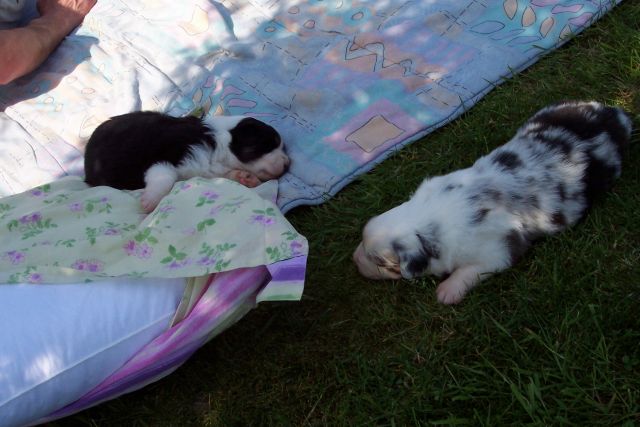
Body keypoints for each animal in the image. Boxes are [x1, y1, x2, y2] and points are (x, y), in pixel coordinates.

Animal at [84, 113, 288, 213]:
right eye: (270, 144)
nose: (288, 164)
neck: (220, 140)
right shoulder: (165, 156)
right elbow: (165, 176)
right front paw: (150, 201)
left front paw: (247, 178)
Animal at [352, 102, 632, 306]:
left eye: (379, 262)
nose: (354, 260)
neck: (429, 219)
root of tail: (615, 115)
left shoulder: (496, 252)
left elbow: (468, 272)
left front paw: (446, 292)